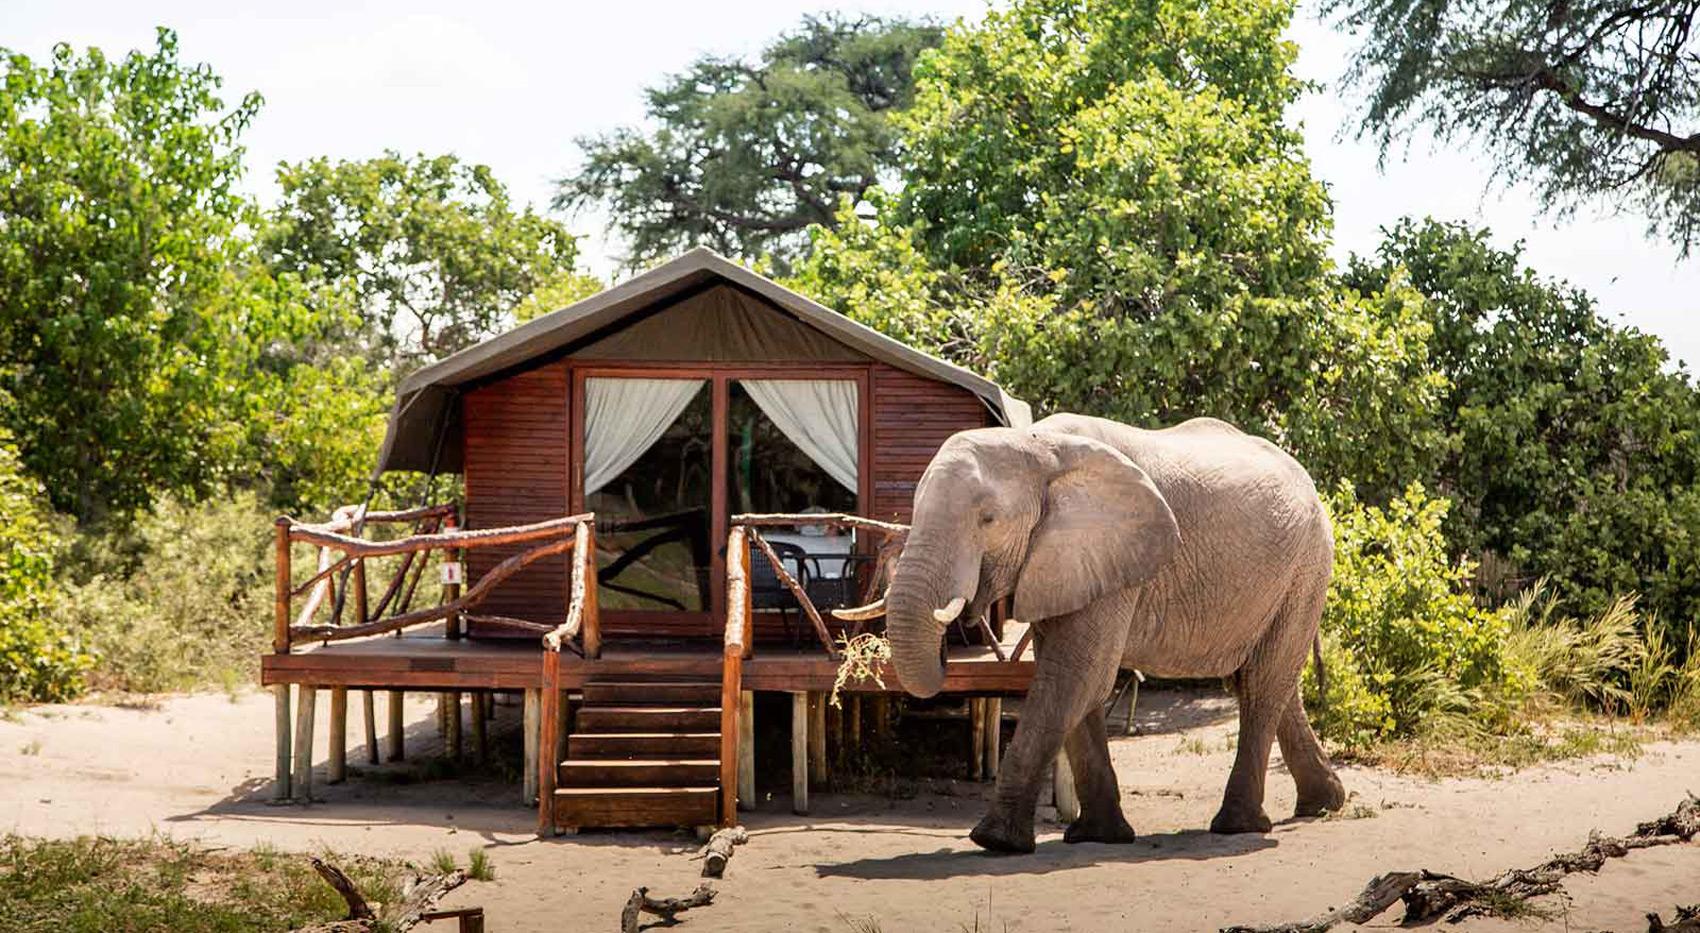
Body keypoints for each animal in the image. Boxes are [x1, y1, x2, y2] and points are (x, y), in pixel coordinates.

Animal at [879, 412, 1345, 853]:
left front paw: (995, 842)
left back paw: (1239, 826)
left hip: (1308, 564)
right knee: (1266, 680)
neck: (1037, 446)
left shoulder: (1109, 555)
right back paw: (1324, 803)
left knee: (1263, 682)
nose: (956, 639)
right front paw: (1098, 836)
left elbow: (1075, 677)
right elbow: (1076, 684)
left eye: (987, 519)